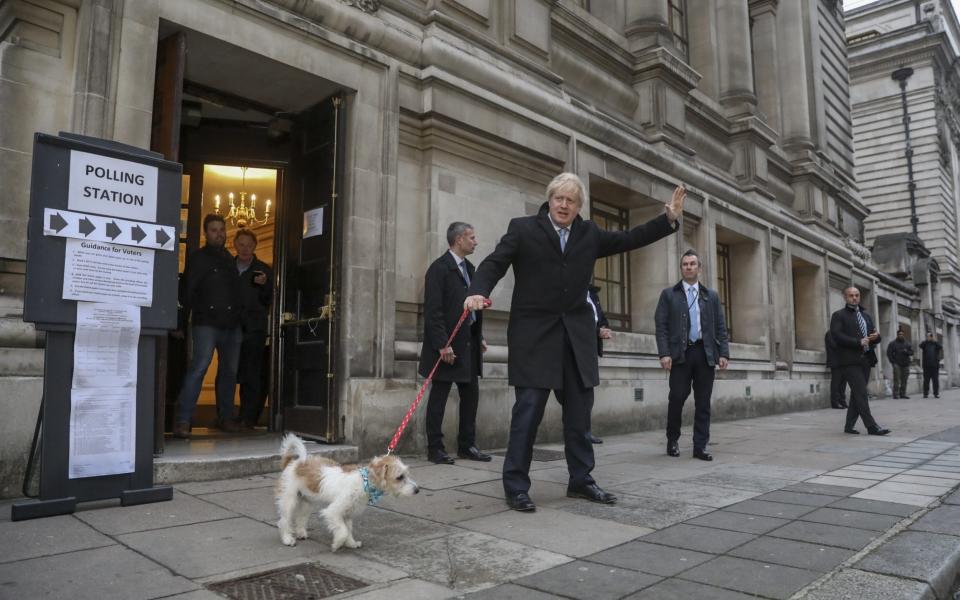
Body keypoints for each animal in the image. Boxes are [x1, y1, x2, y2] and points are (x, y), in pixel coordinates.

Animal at [274, 432, 416, 552]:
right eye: (400, 477)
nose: (417, 490)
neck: (363, 481)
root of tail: (294, 462)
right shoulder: (333, 512)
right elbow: (342, 531)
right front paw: (337, 544)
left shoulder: (347, 514)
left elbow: (348, 530)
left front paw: (350, 543)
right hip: (289, 501)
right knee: (284, 521)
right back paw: (287, 539)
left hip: (307, 502)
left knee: (300, 518)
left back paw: (301, 533)